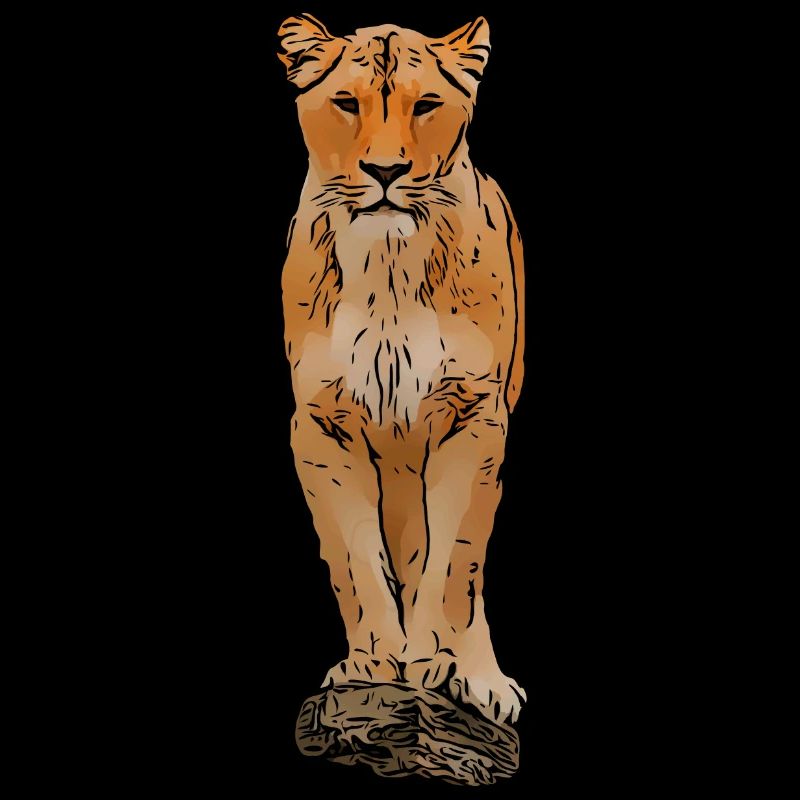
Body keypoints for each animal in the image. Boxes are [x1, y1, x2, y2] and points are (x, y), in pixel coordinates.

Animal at [278, 13, 526, 725]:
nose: (385, 170)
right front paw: (372, 663)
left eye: (426, 105)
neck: (387, 264)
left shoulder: (475, 415)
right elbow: (355, 556)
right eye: (345, 102)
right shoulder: (321, 424)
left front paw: (438, 663)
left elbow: (453, 562)